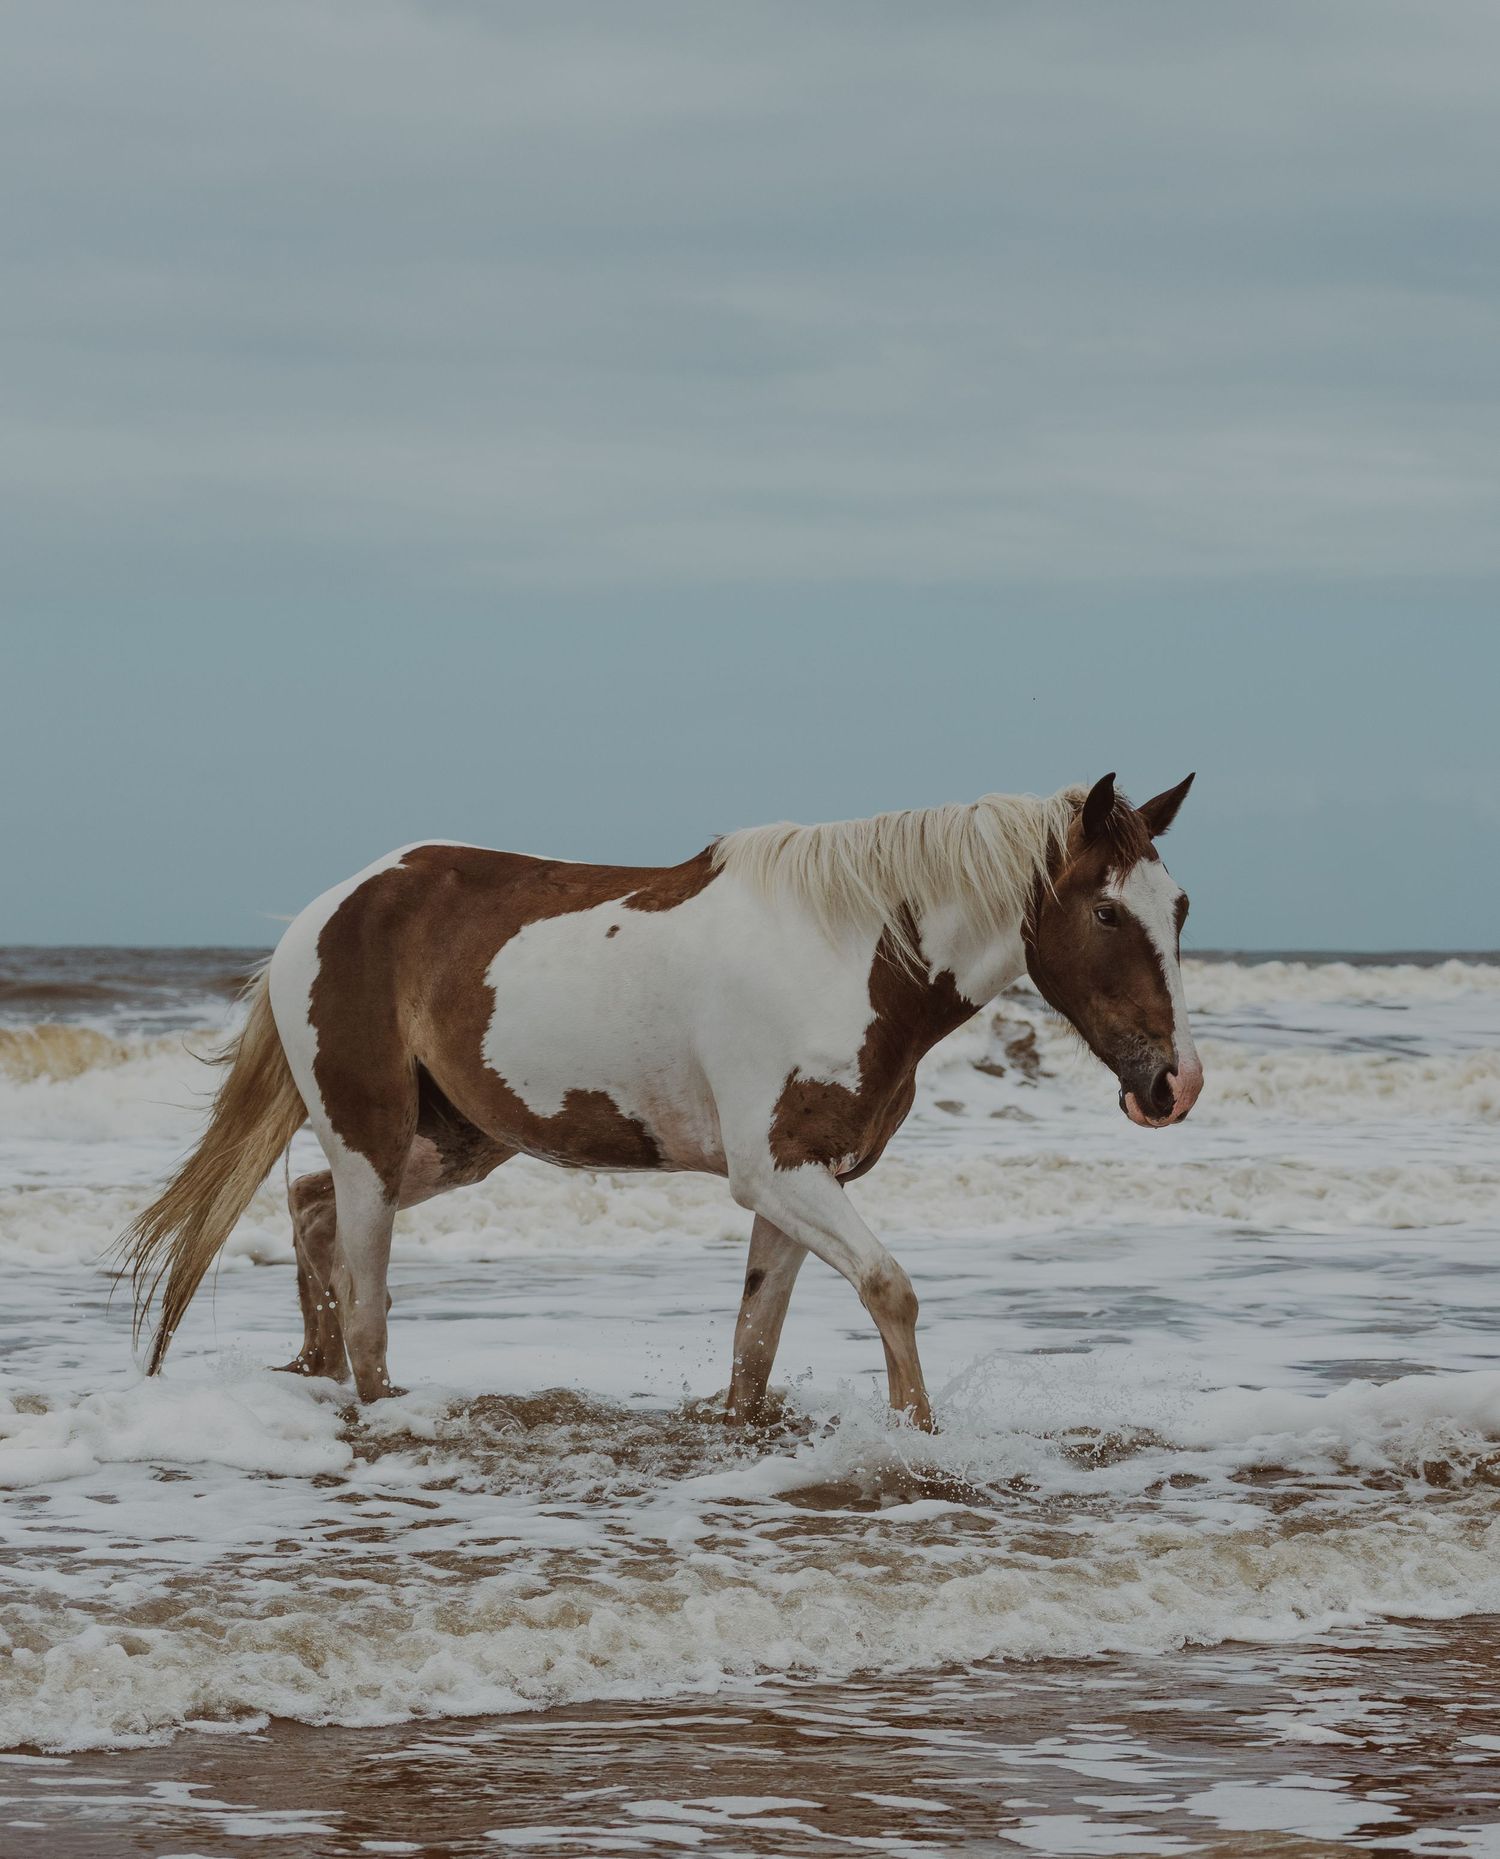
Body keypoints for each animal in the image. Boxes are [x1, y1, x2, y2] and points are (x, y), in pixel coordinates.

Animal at [124, 772, 1201, 1431]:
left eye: (1181, 906)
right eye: (1107, 909)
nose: (1174, 1083)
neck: (846, 951)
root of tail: (324, 911)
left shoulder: (806, 1178)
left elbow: (755, 1344)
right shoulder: (777, 1175)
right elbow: (890, 1287)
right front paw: (919, 1440)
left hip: (454, 1142)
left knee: (308, 1213)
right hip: (376, 1146)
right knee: (366, 1313)